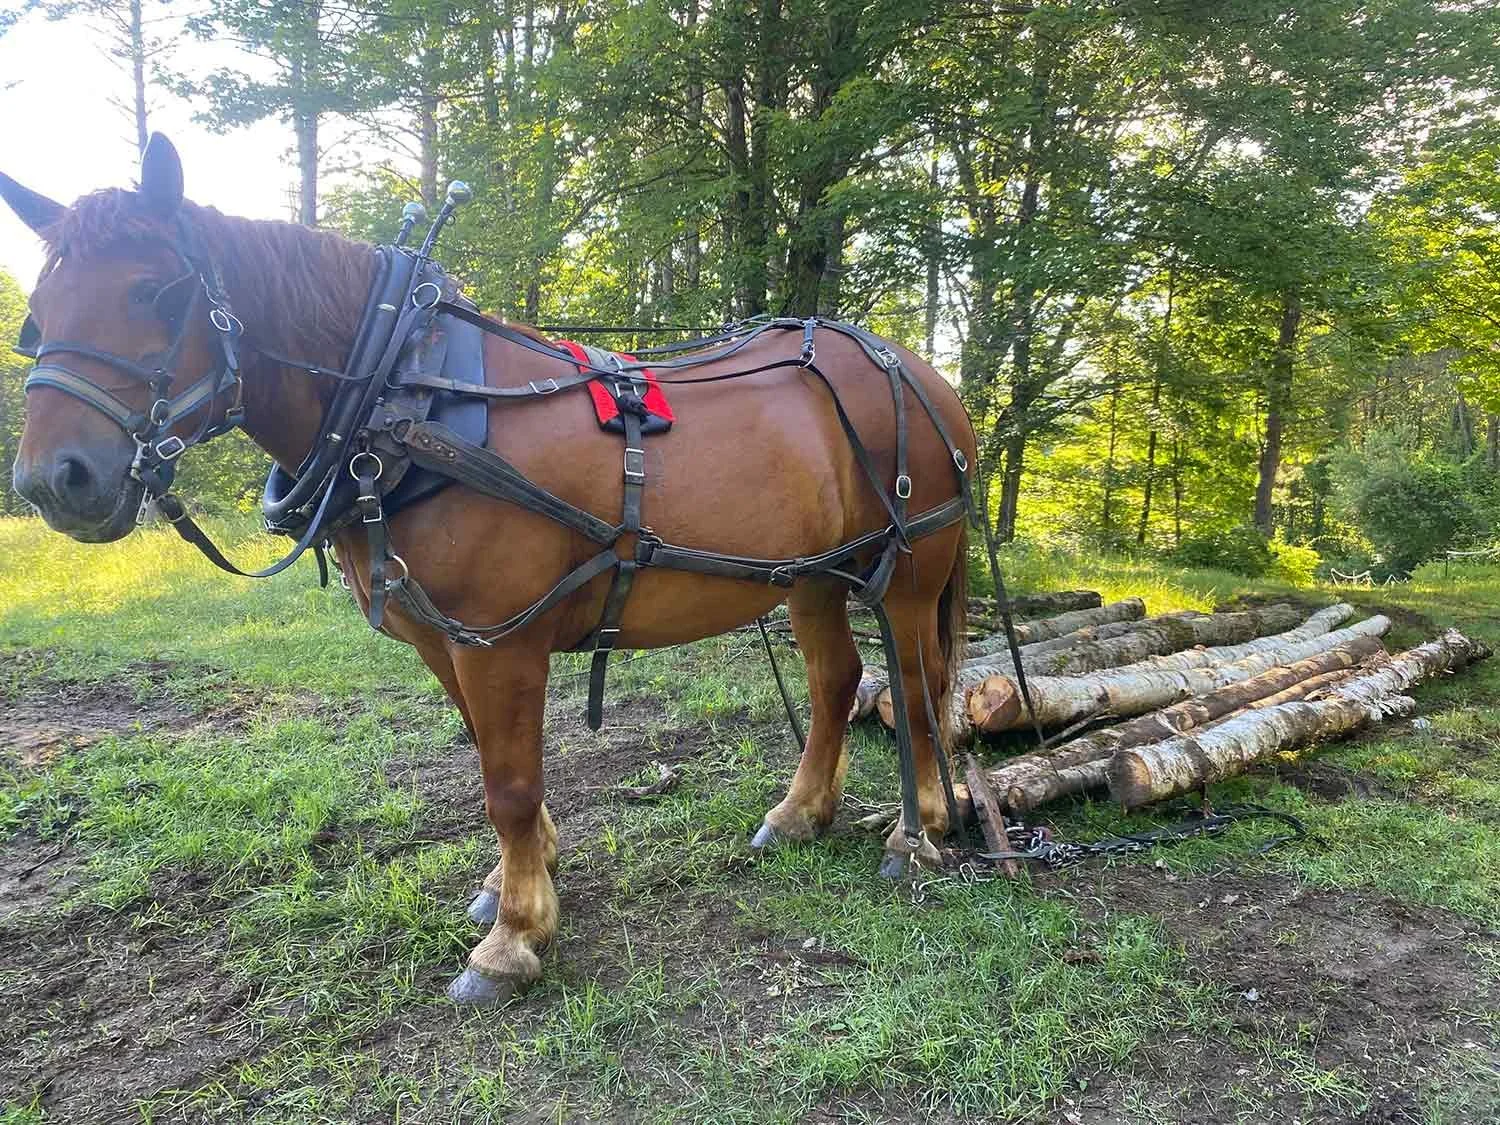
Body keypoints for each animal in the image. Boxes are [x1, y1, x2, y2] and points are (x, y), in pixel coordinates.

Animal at [2, 135, 977, 1006]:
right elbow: (486, 757)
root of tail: (919, 369)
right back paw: (800, 812)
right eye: (37, 317)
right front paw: (522, 880)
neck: (408, 399)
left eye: (156, 291)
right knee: (835, 680)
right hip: (813, 575)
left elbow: (508, 783)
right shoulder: (444, 639)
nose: (55, 479)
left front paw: (512, 938)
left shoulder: (499, 640)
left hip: (909, 571)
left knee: (918, 686)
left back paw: (918, 832)